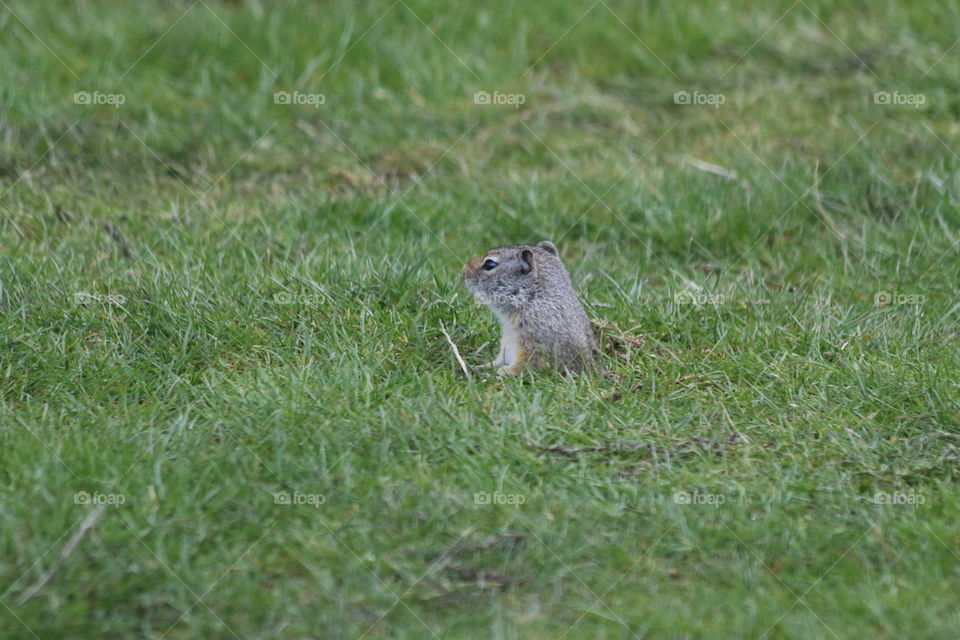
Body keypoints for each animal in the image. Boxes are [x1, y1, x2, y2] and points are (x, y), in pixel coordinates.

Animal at [462, 242, 596, 378]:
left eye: (489, 264)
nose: (464, 271)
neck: (532, 299)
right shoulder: (507, 347)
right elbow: (498, 361)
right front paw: (479, 367)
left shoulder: (536, 347)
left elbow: (526, 367)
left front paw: (498, 373)